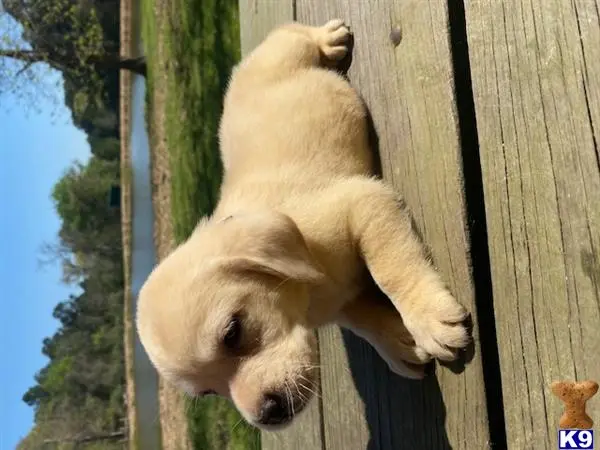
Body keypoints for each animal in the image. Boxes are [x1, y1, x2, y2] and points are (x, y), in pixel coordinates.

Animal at [138, 19, 472, 430]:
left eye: (233, 333)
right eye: (208, 392)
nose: (267, 415)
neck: (310, 288)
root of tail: (241, 66)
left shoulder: (365, 202)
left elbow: (393, 272)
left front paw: (428, 320)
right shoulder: (340, 302)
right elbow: (361, 320)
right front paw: (399, 342)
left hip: (284, 50)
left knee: (291, 32)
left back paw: (326, 37)